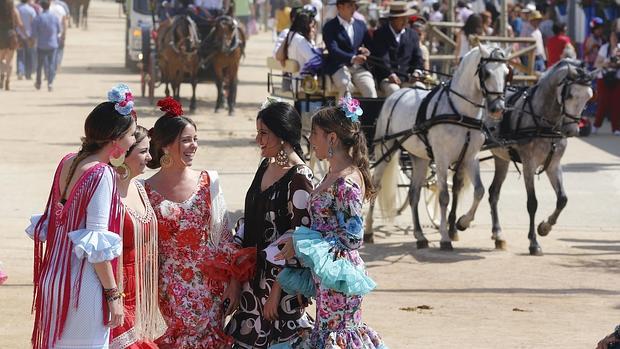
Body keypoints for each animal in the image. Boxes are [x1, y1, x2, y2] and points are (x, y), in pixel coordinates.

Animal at [366, 44, 512, 249]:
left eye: (507, 73)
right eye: (487, 73)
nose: (498, 108)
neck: (460, 112)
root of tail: (396, 95)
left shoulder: (470, 157)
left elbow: (479, 191)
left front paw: (462, 222)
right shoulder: (442, 159)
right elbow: (444, 196)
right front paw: (445, 237)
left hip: (419, 158)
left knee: (414, 194)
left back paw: (420, 236)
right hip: (384, 149)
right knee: (376, 186)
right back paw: (368, 232)